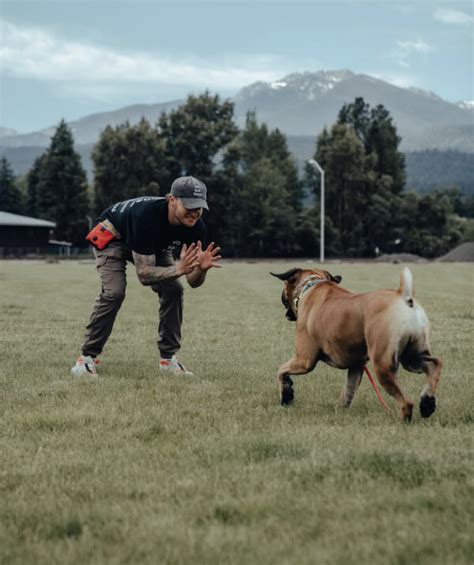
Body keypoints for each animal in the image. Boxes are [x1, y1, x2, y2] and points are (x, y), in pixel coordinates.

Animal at [272, 266, 442, 420]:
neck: (312, 284)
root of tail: (403, 297)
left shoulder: (304, 360)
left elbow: (281, 370)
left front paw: (286, 394)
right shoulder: (356, 367)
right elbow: (348, 392)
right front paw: (340, 411)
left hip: (383, 365)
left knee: (406, 401)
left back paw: (405, 419)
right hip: (412, 358)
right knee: (434, 364)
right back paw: (427, 403)